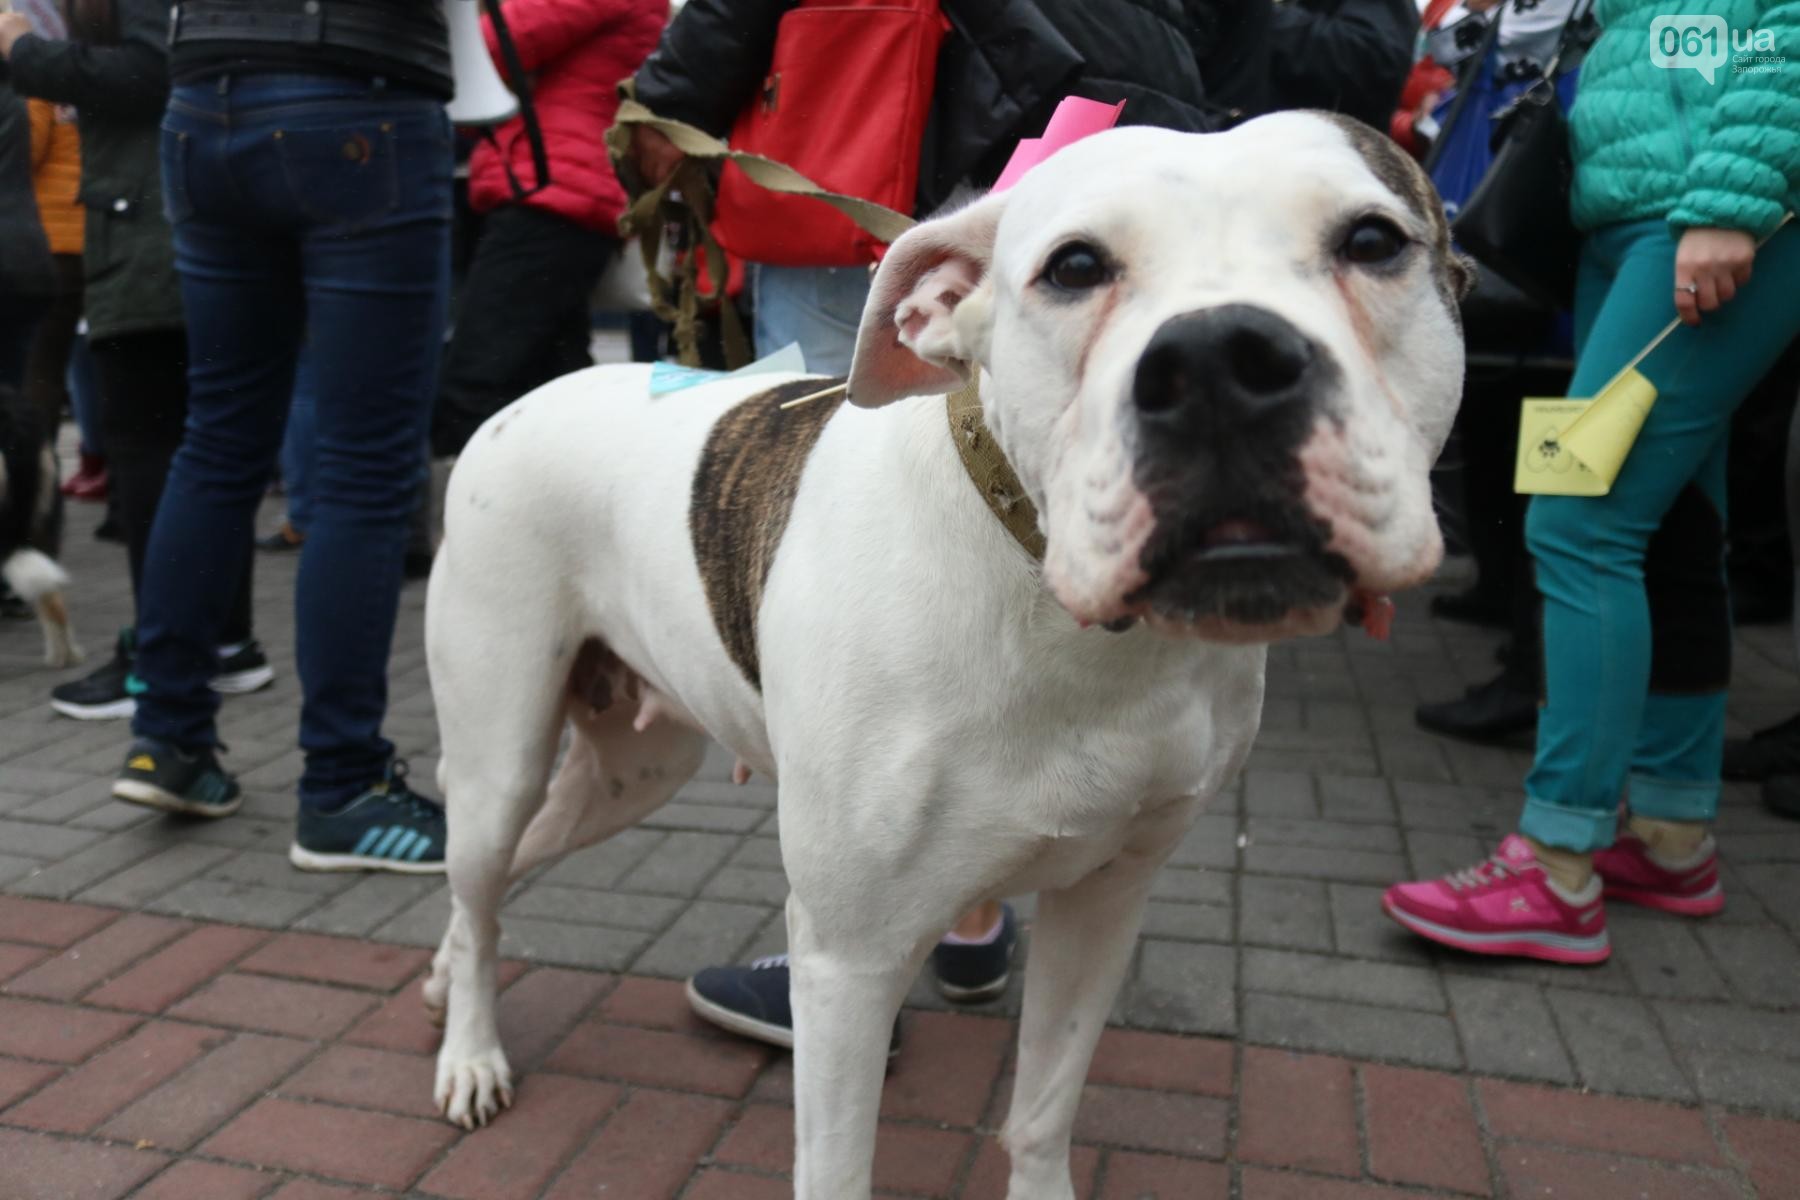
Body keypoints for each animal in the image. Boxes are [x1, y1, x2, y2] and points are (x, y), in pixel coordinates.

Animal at [428, 107, 1468, 1194]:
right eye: (1074, 265)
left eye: (1373, 241)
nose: (1222, 362)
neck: (1070, 633)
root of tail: (527, 398)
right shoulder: (849, 959)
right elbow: (837, 1169)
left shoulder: (1104, 898)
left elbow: (1045, 1106)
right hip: (501, 750)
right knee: (481, 869)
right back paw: (471, 1055)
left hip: (636, 771)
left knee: (485, 891)